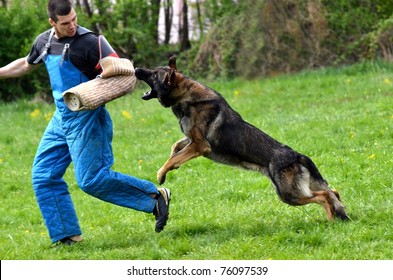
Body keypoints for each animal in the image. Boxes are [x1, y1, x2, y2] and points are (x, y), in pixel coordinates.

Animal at [136, 55, 350, 220]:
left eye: (154, 74)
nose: (136, 68)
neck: (187, 97)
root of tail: (297, 156)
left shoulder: (200, 145)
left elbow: (172, 158)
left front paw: (161, 174)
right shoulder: (191, 140)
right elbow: (175, 148)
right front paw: (172, 165)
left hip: (289, 195)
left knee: (323, 196)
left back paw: (331, 220)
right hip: (298, 190)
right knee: (333, 192)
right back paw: (339, 216)